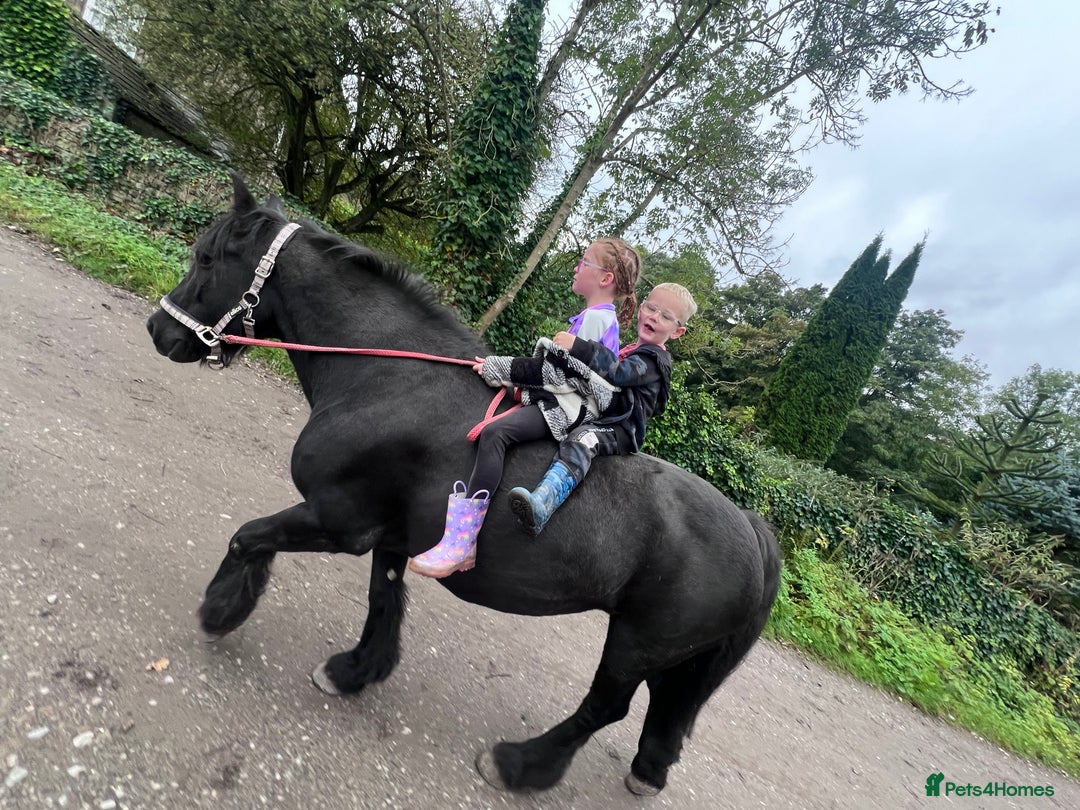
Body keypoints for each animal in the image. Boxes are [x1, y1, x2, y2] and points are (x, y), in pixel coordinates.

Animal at [146, 175, 782, 796]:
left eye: (207, 258)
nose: (158, 329)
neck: (389, 379)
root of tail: (752, 531)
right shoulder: (390, 535)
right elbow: (383, 598)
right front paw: (356, 670)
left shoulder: (337, 519)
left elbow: (248, 537)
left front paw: (221, 609)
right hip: (673, 654)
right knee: (665, 710)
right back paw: (644, 769)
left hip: (637, 642)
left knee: (606, 707)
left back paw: (520, 764)